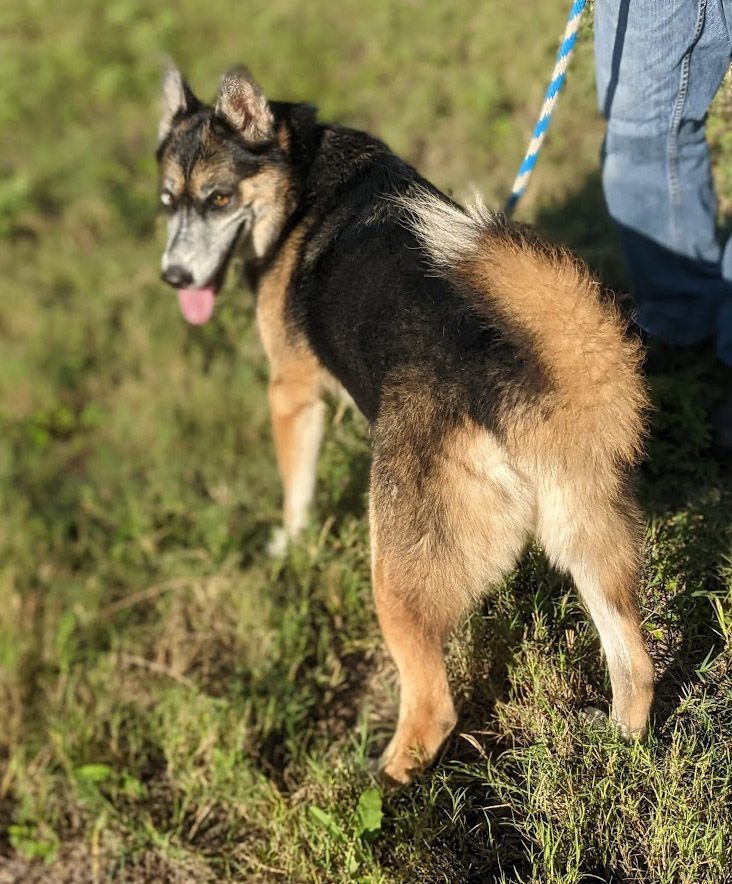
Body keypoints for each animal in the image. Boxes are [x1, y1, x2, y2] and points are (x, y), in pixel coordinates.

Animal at [156, 65, 656, 784]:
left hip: (395, 574)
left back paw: (379, 785)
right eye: (168, 201)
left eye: (220, 198)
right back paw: (619, 739)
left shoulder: (291, 394)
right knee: (636, 663)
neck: (301, 177)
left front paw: (288, 546)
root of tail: (516, 377)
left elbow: (295, 495)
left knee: (432, 708)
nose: (174, 276)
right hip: (590, 535)